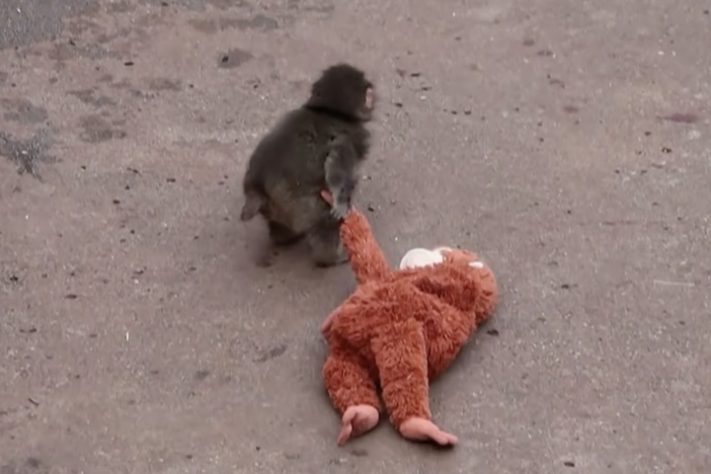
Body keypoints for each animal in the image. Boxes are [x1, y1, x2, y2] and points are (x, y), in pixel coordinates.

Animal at [239, 63, 376, 266]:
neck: (329, 112)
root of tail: (256, 187)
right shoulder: (349, 139)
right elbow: (337, 170)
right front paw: (340, 201)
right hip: (300, 204)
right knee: (325, 217)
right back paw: (330, 257)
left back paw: (283, 237)